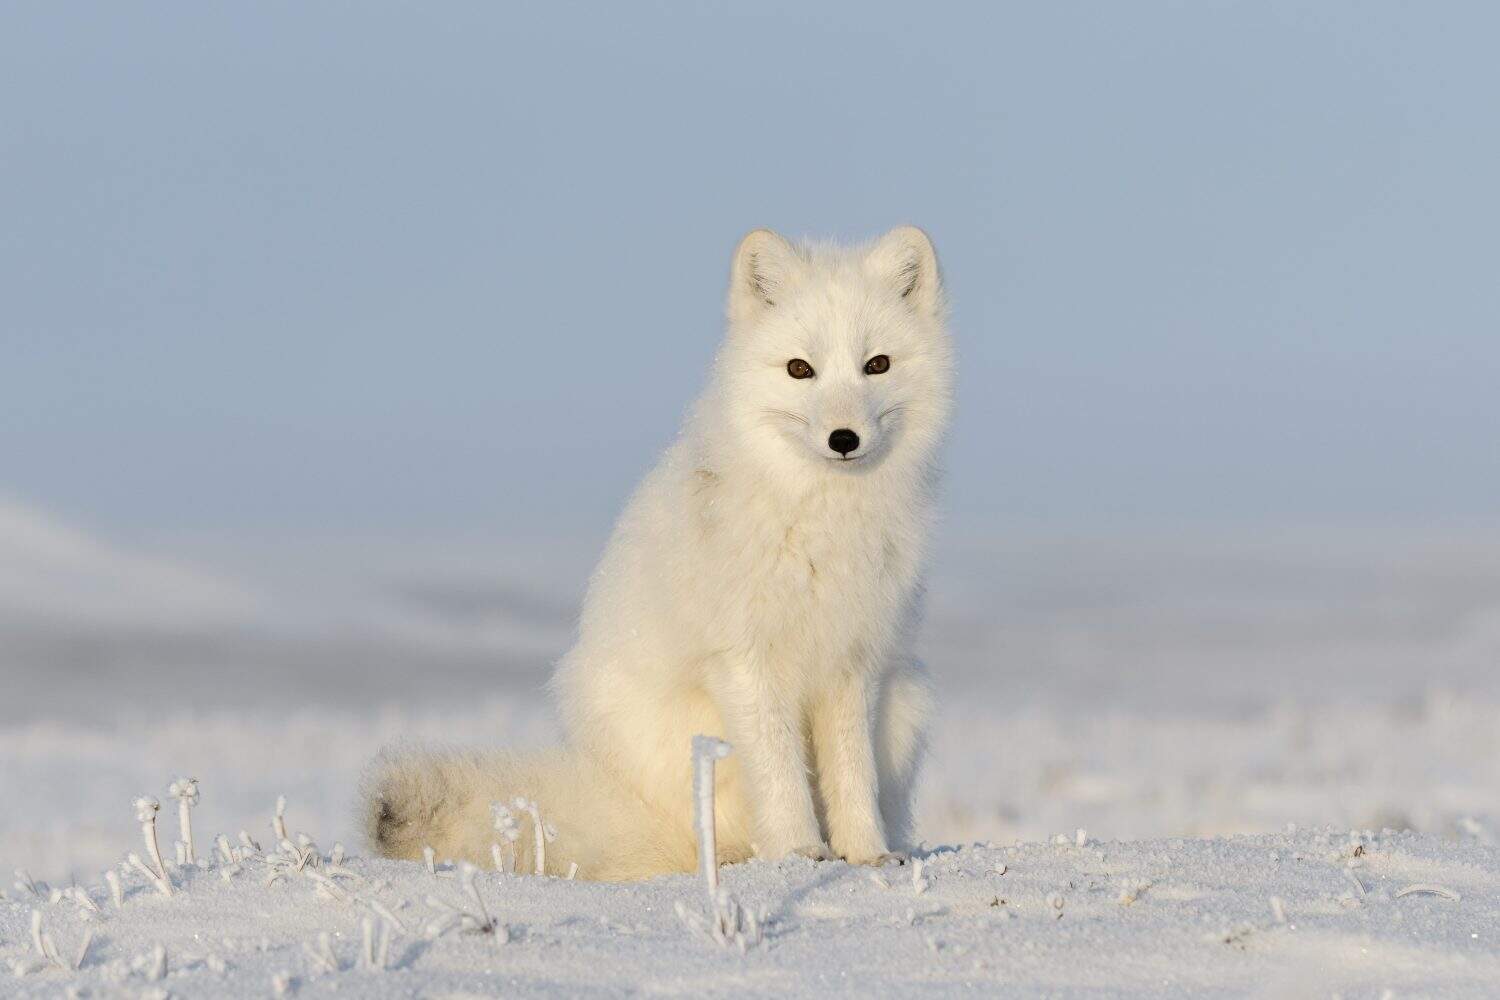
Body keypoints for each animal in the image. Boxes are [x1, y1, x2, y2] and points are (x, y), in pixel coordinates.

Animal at [363, 225, 953, 881]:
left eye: (877, 364)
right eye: (800, 369)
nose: (843, 439)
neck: (821, 520)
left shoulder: (853, 662)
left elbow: (852, 775)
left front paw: (866, 854)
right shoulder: (745, 662)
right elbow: (780, 774)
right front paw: (800, 853)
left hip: (909, 698)